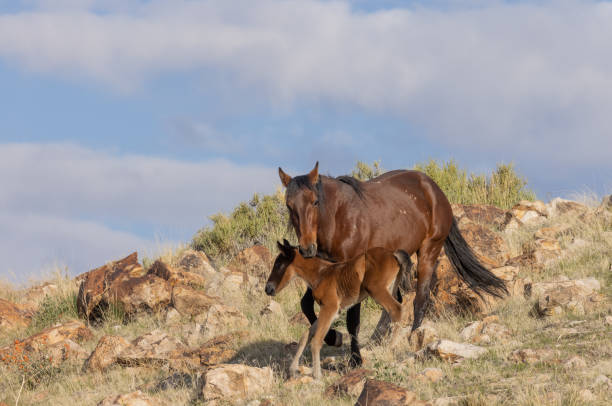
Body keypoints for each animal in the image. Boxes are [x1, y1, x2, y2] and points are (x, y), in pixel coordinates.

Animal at [266, 239, 408, 380]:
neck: (321, 274)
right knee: (391, 313)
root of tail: (393, 254)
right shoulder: (333, 311)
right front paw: (293, 369)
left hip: (376, 289)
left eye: (279, 265)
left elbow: (316, 340)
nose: (268, 289)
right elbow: (307, 335)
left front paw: (317, 375)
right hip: (391, 288)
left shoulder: (330, 307)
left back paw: (389, 348)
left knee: (397, 310)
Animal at [270, 163, 510, 368]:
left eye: (315, 202)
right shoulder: (325, 272)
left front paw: (355, 359)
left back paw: (414, 338)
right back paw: (380, 338)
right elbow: (306, 305)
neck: (338, 219)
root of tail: (434, 188)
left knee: (420, 298)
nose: (307, 248)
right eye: (289, 206)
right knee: (395, 302)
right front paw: (334, 337)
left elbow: (352, 320)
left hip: (429, 250)